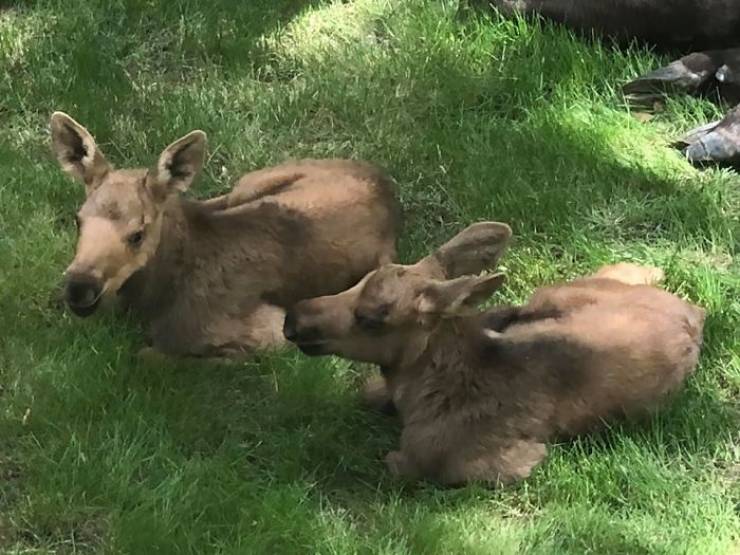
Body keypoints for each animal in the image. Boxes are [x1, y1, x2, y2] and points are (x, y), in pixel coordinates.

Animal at [51, 112, 401, 359]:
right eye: (78, 221)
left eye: (137, 234)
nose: (78, 288)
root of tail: (384, 183)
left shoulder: (272, 332)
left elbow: (149, 355)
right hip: (249, 183)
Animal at [282, 223, 705, 486]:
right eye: (357, 281)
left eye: (370, 318)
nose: (293, 318)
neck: (418, 394)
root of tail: (695, 312)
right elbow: (367, 392)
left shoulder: (485, 463)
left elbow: (397, 463)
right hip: (557, 291)